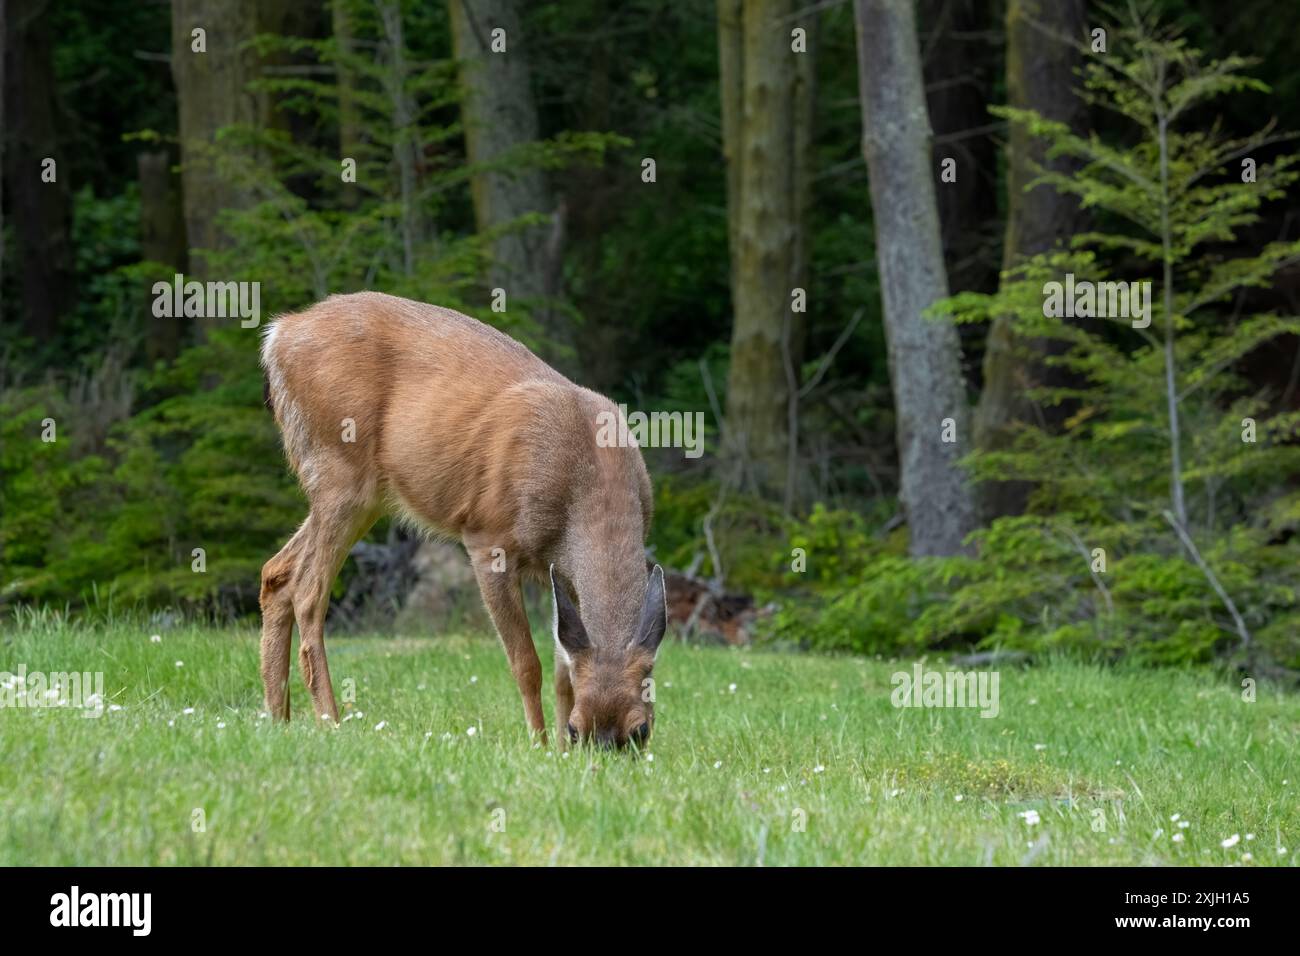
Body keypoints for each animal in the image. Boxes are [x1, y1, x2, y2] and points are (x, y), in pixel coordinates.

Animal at [258, 292, 668, 749]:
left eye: (641, 729)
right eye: (580, 729)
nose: (589, 751)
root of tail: (278, 333)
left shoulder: (561, 571)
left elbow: (565, 669)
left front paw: (559, 751)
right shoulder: (488, 538)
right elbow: (527, 663)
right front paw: (540, 746)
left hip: (361, 493)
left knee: (276, 572)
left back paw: (278, 717)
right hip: (339, 471)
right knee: (307, 590)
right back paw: (330, 719)